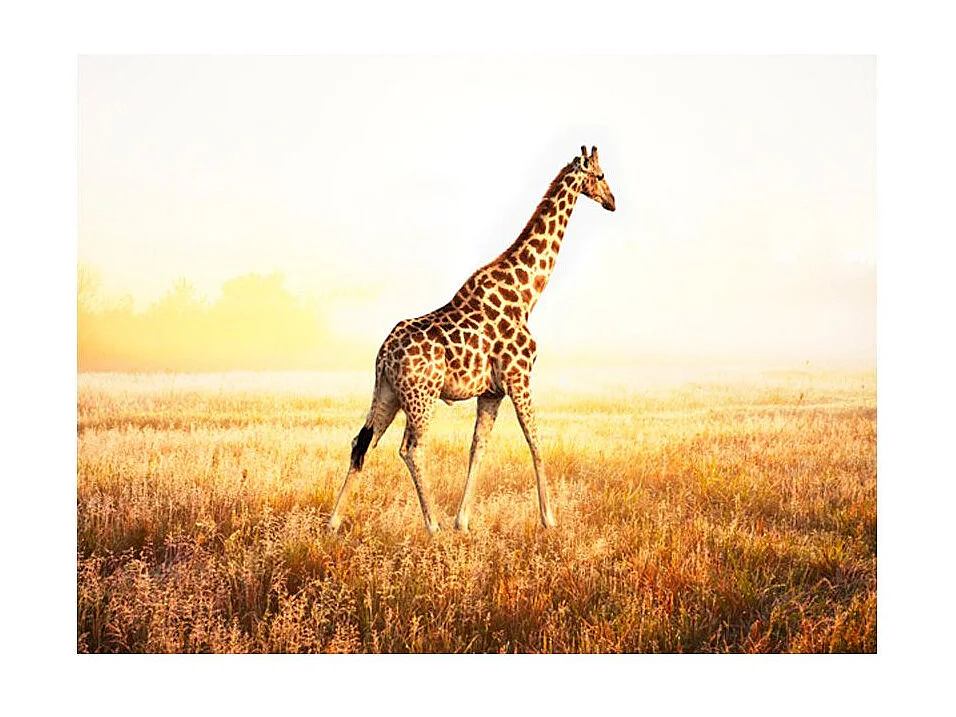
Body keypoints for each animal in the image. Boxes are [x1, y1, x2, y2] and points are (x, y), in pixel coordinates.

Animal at [327, 145, 616, 534]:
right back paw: (432, 525)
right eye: (600, 175)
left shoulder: (492, 391)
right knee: (411, 448)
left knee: (362, 441)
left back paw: (334, 522)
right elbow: (535, 440)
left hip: (387, 392)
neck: (526, 294)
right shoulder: (519, 377)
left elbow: (478, 447)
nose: (612, 201)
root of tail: (383, 354)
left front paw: (463, 521)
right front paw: (549, 519)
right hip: (421, 396)